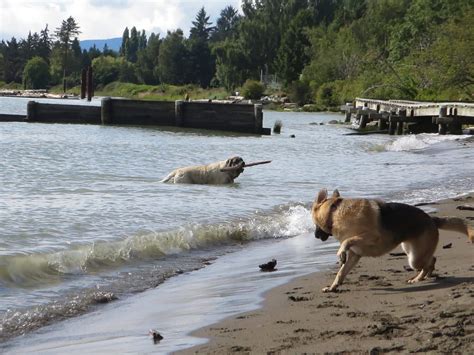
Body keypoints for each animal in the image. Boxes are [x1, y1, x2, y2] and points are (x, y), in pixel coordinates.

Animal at [312, 191, 474, 294]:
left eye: (314, 223)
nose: (314, 235)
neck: (335, 213)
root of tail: (432, 219)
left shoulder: (371, 236)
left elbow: (347, 240)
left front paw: (340, 251)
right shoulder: (354, 255)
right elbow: (341, 273)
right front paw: (333, 287)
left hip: (414, 259)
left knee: (429, 263)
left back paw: (418, 278)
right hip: (411, 251)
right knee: (431, 260)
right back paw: (425, 276)